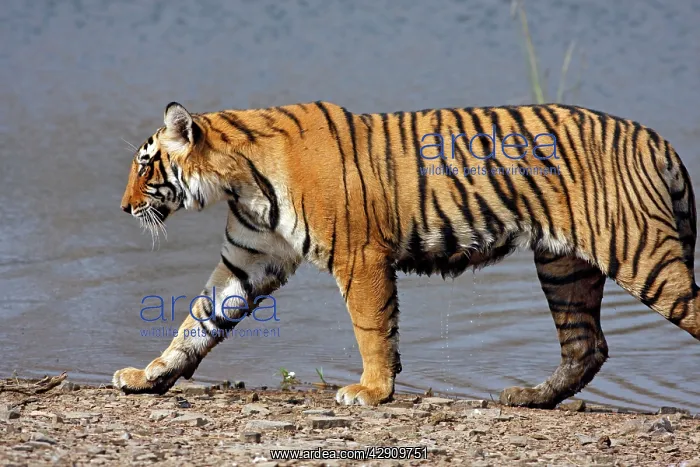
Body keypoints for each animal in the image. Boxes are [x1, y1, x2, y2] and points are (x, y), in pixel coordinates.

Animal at [113, 100, 699, 409]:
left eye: (145, 165)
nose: (123, 208)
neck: (238, 181)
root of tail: (654, 137)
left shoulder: (360, 256)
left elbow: (372, 327)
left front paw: (371, 391)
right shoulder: (248, 260)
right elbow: (196, 322)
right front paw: (148, 376)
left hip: (640, 253)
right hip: (563, 265)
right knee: (586, 345)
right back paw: (529, 397)